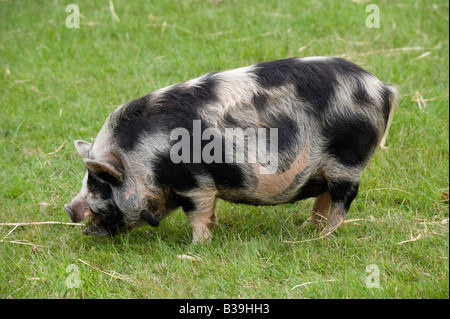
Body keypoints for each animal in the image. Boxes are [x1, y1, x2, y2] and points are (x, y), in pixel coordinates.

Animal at [65, 57, 396, 245]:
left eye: (100, 184)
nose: (69, 208)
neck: (144, 157)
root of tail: (382, 89)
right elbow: (208, 213)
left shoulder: (194, 183)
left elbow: (197, 214)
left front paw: (197, 246)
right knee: (324, 195)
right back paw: (307, 229)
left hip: (348, 160)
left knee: (343, 198)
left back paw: (325, 238)